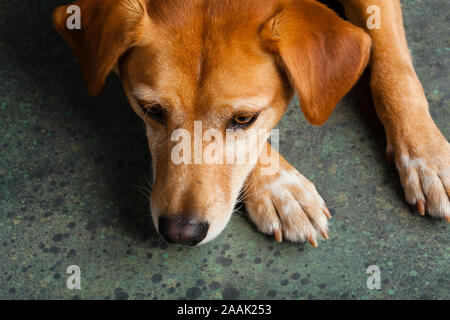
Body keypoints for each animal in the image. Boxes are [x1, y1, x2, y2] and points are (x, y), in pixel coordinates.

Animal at [51, 0, 446, 246]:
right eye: (151, 109)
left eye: (243, 118)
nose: (181, 232)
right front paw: (279, 186)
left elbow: (391, 59)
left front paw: (426, 154)